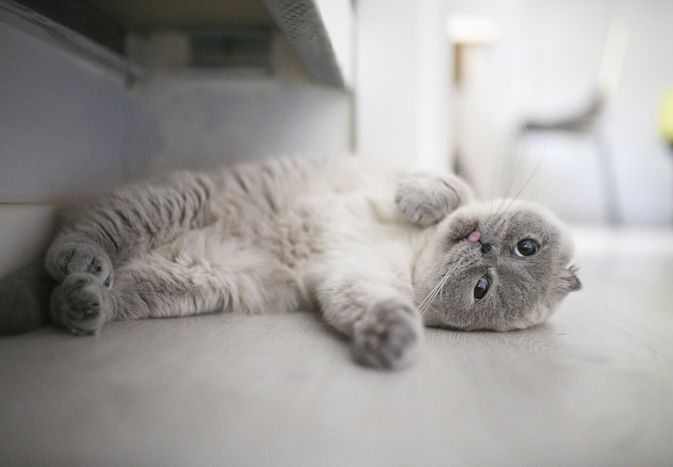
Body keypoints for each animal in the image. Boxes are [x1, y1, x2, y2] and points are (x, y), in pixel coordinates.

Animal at [0, 155, 580, 372]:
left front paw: (392, 340)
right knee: (82, 238)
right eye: (526, 247)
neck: (413, 253)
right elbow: (448, 185)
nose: (485, 247)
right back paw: (80, 262)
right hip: (173, 202)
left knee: (82, 289)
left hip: (195, 280)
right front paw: (420, 202)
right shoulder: (397, 169)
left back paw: (80, 302)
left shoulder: (354, 280)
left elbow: (380, 307)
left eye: (482, 289)